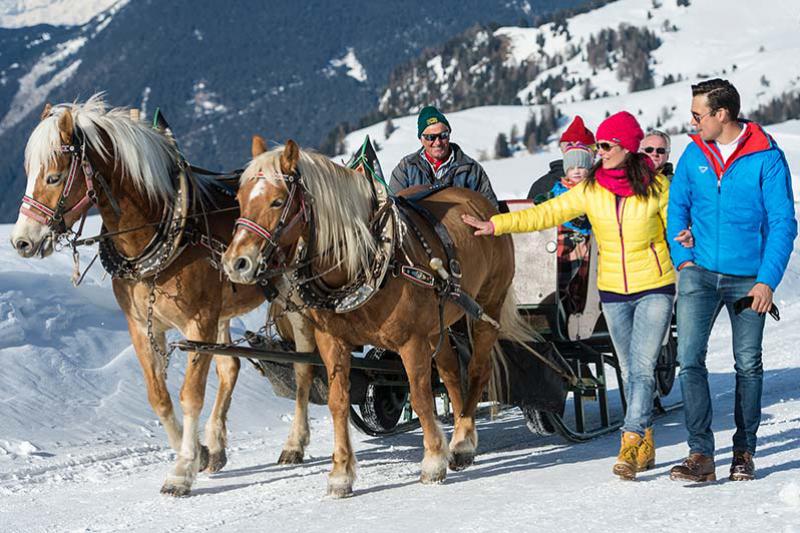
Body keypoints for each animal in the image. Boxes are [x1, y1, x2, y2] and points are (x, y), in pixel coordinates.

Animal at [8, 94, 266, 494]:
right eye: (30, 172)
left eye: (53, 176)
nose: (21, 241)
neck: (165, 228)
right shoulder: (142, 325)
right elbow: (158, 397)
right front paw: (198, 453)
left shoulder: (199, 323)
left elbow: (190, 394)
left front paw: (182, 470)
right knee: (230, 368)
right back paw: (217, 445)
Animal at [222, 137, 528, 494]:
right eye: (240, 200)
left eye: (277, 201)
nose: (236, 263)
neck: (364, 261)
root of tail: (483, 206)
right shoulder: (333, 341)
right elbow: (338, 402)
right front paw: (341, 474)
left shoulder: (411, 342)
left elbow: (420, 397)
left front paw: (432, 462)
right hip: (440, 324)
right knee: (452, 373)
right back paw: (459, 439)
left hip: (486, 306)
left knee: (477, 369)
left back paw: (463, 443)